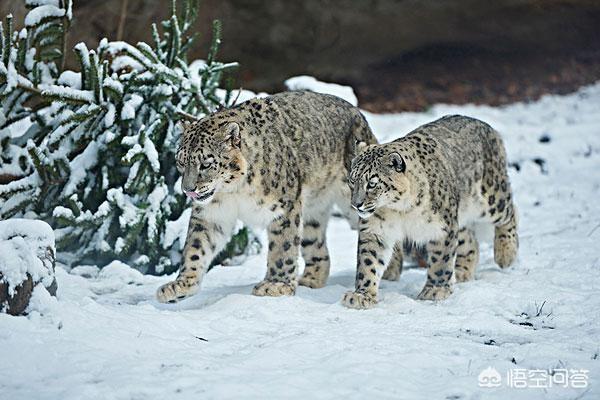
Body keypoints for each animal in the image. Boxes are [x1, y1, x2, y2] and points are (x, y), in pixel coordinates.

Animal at [156, 91, 404, 304]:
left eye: (206, 164)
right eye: (180, 161)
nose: (188, 190)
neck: (234, 192)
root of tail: (359, 113)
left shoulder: (284, 206)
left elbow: (282, 247)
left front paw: (275, 285)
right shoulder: (212, 213)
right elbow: (196, 246)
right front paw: (181, 284)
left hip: (357, 203)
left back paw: (390, 270)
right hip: (313, 210)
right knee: (316, 245)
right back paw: (311, 279)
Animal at [342, 114, 520, 308]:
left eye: (372, 184)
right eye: (352, 180)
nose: (356, 204)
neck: (399, 211)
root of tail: (487, 126)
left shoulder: (442, 228)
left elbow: (441, 260)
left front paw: (435, 289)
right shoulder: (375, 230)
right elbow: (369, 261)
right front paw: (362, 295)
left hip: (491, 198)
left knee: (510, 212)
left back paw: (506, 254)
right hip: (460, 215)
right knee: (470, 241)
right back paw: (462, 272)